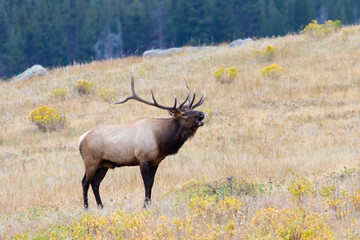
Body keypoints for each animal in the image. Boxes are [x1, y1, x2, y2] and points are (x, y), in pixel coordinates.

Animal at [80, 71, 207, 208]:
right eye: (184, 114)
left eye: (191, 110)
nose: (201, 114)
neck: (161, 140)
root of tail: (81, 139)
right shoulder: (143, 158)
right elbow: (147, 182)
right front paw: (145, 205)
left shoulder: (156, 161)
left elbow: (152, 182)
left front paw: (149, 203)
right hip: (91, 161)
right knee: (85, 182)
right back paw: (86, 207)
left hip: (104, 164)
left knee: (95, 183)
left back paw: (101, 206)